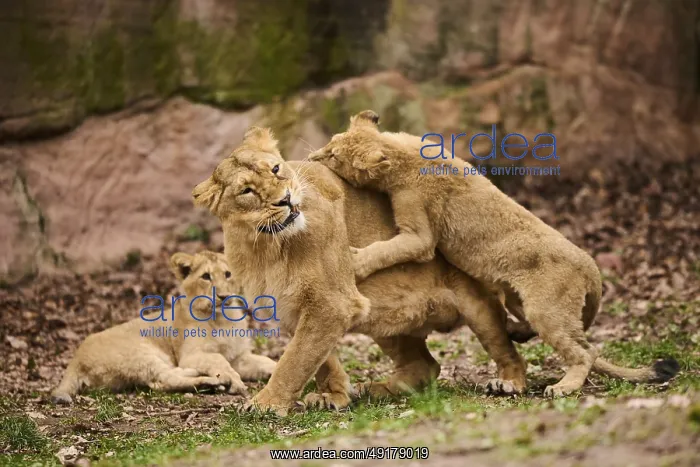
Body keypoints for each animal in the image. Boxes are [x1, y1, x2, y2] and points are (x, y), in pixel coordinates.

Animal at [51, 250, 277, 404]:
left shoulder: (239, 357)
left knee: (163, 380)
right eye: (206, 276)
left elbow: (266, 361)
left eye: (228, 274)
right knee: (166, 380)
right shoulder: (191, 354)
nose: (223, 296)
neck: (223, 318)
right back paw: (213, 382)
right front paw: (236, 383)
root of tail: (76, 357)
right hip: (143, 353)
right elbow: (219, 359)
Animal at [192, 127, 529, 415]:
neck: (265, 245)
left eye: (276, 169)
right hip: (385, 317)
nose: (285, 199)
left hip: (478, 306)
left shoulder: (334, 302)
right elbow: (320, 358)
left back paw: (508, 383)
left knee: (506, 350)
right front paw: (334, 396)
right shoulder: (292, 308)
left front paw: (266, 404)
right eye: (247, 191)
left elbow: (295, 359)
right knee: (427, 365)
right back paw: (376, 389)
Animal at [308, 110, 680, 397]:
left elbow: (390, 249)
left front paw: (356, 261)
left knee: (584, 352)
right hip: (519, 299)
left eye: (334, 156)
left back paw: (561, 387)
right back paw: (517, 333)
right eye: (330, 142)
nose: (312, 157)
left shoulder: (420, 235)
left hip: (547, 308)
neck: (401, 150)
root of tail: (594, 270)